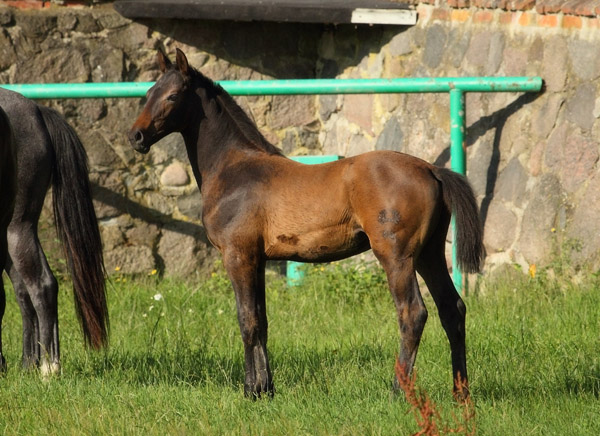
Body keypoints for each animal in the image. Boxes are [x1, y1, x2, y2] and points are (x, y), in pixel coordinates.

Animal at [0, 88, 108, 374]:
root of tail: (36, 110)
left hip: (18, 227)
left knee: (42, 285)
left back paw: (49, 368)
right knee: (24, 293)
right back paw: (29, 365)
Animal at [129, 49, 486, 400]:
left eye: (172, 96)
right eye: (148, 93)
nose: (136, 136)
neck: (235, 169)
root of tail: (431, 169)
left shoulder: (238, 256)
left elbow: (247, 320)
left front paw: (251, 392)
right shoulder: (258, 260)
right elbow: (262, 320)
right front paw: (265, 389)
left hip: (398, 257)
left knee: (413, 313)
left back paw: (399, 391)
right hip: (428, 255)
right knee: (452, 309)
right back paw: (460, 393)